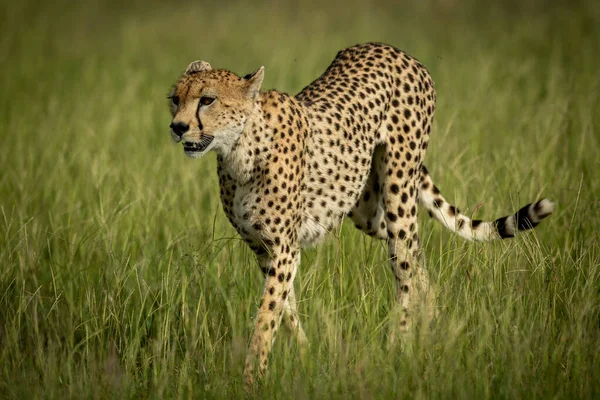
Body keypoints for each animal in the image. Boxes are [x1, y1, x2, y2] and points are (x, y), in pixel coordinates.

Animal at [165, 42, 552, 386]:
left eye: (207, 99)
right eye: (175, 99)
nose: (178, 127)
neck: (240, 149)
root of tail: (391, 49)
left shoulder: (283, 248)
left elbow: (267, 315)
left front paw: (252, 379)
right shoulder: (264, 249)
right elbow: (285, 309)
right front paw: (305, 356)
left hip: (398, 190)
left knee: (405, 268)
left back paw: (400, 346)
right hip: (367, 208)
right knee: (415, 254)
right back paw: (436, 319)